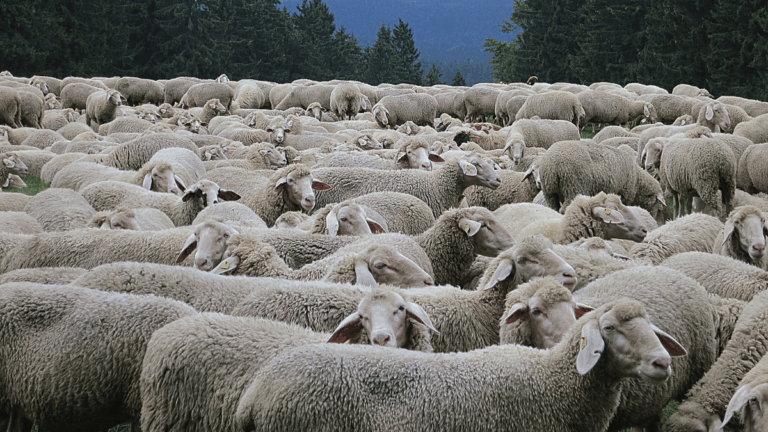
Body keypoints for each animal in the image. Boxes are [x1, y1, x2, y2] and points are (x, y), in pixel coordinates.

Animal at [537, 139, 667, 221]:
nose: (655, 218)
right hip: (573, 187)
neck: (638, 181)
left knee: (552, 208)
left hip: (549, 192)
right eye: (657, 203)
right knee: (565, 209)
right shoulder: (625, 194)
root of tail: (551, 166)